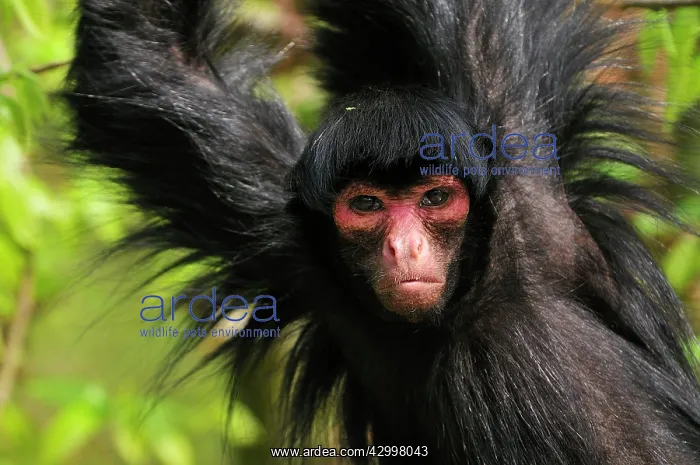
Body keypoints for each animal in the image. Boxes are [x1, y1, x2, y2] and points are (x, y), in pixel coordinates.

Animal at [64, 0, 700, 463]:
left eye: (436, 198)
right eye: (367, 206)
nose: (405, 245)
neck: (458, 313)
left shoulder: (533, 210)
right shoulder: (289, 239)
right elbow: (148, 64)